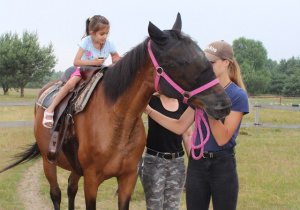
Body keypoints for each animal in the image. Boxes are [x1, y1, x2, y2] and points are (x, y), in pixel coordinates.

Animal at [0, 13, 232, 210]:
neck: (118, 122)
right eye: (180, 61)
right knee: (56, 194)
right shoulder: (91, 181)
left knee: (71, 189)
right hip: (48, 163)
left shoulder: (127, 179)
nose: (224, 105)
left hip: (75, 170)